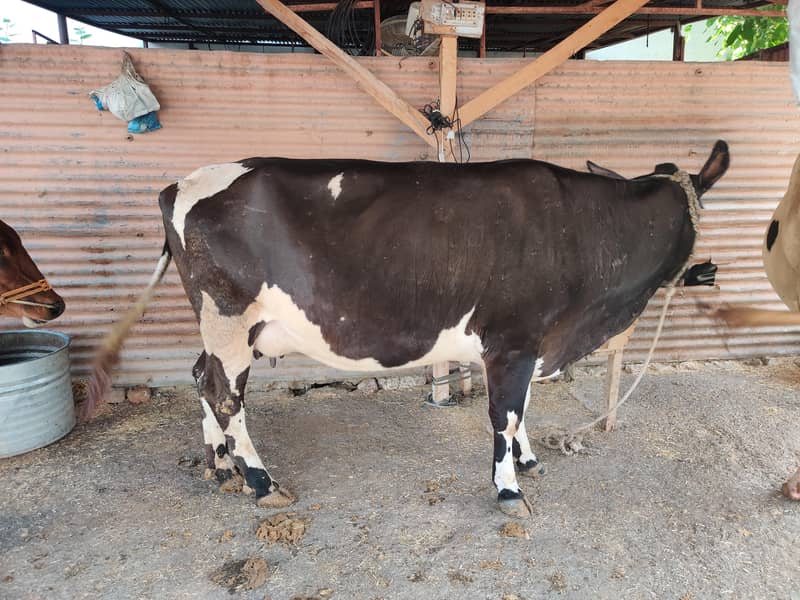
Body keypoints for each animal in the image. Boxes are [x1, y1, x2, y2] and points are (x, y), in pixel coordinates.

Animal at [87, 141, 729, 517]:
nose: (708, 271)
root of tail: (182, 182)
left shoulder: (532, 343)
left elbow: (522, 410)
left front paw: (526, 460)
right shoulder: (514, 339)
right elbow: (504, 414)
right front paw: (508, 489)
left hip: (221, 325)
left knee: (202, 378)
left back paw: (220, 467)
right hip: (227, 314)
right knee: (223, 392)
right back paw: (262, 482)